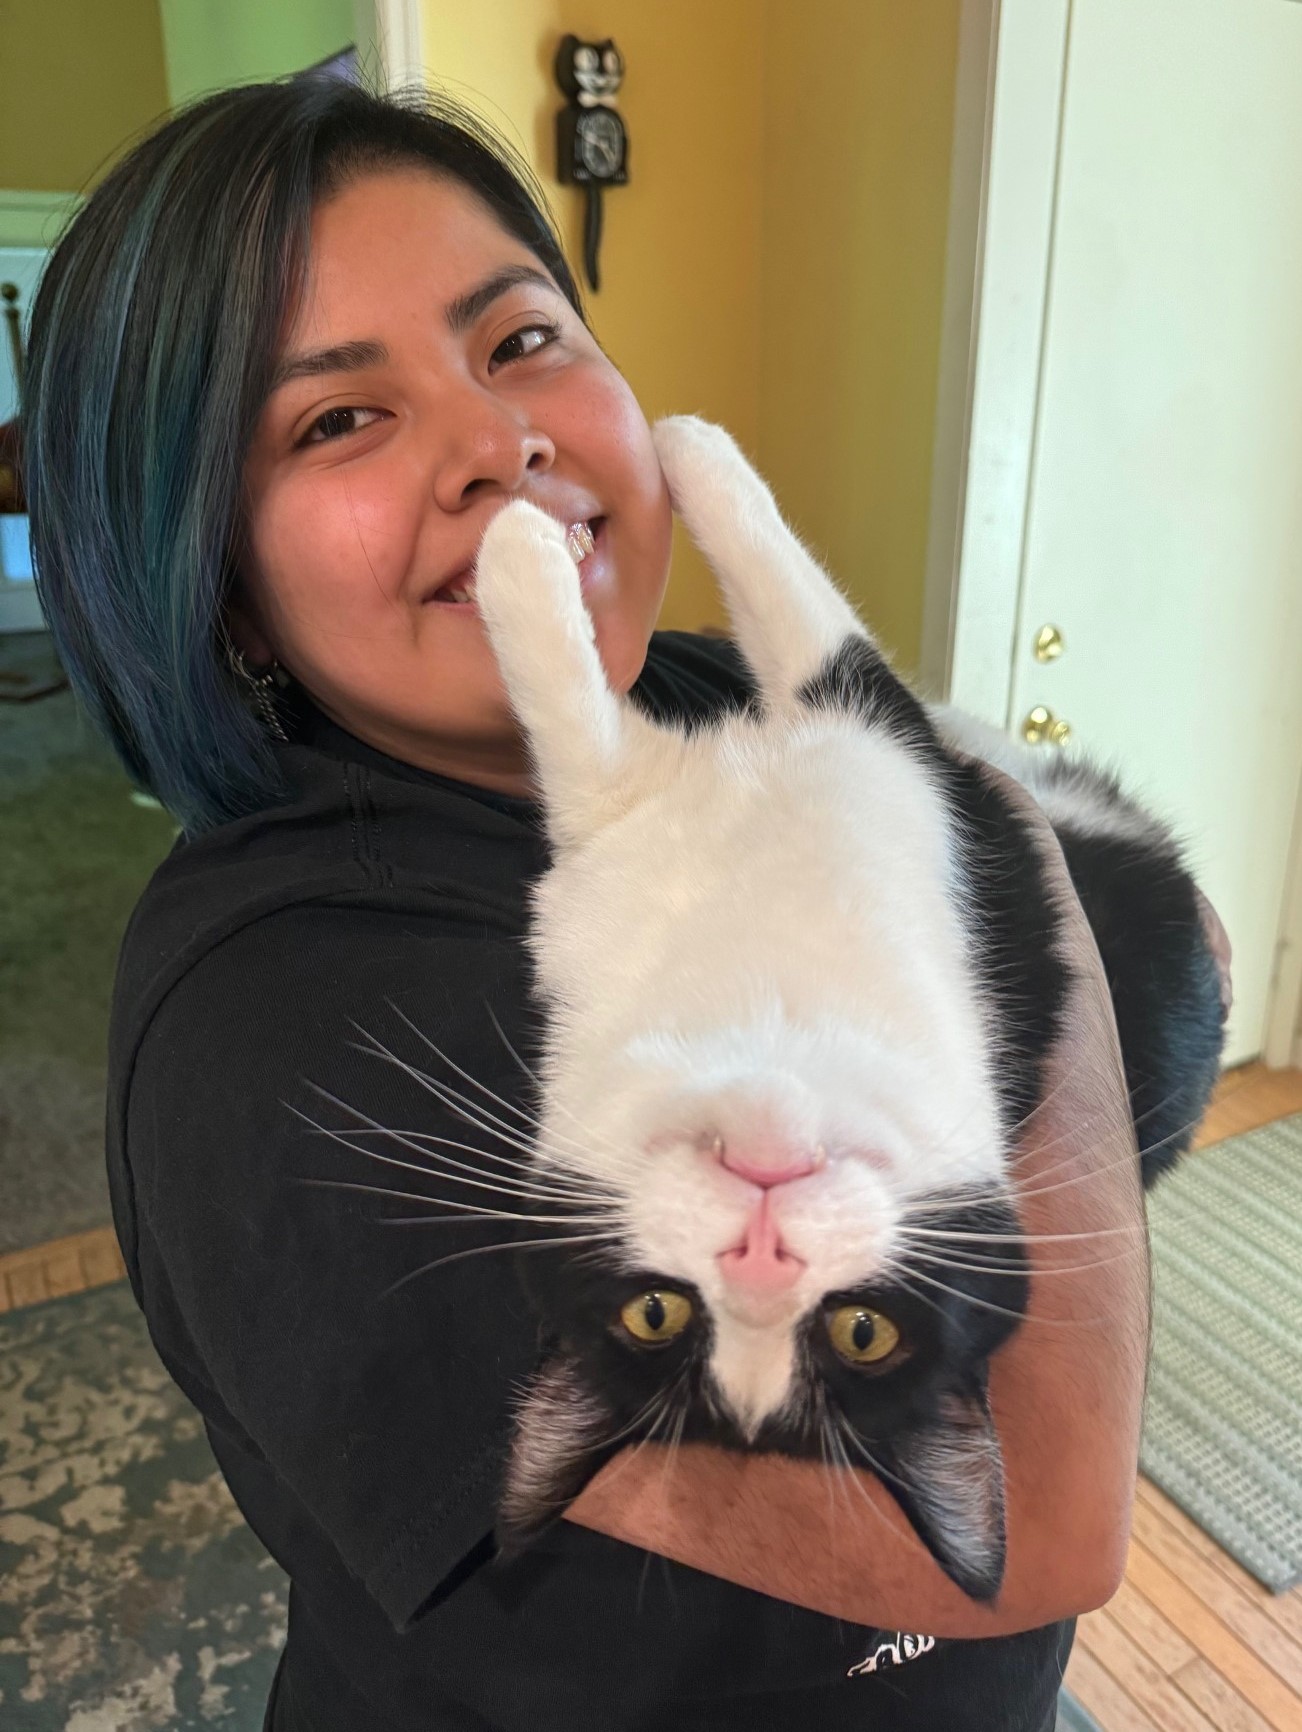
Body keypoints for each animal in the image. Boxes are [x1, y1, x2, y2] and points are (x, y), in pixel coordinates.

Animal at [464, 415, 1225, 1602]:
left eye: (864, 1334)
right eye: (657, 1313)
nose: (763, 1252)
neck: (771, 1009)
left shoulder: (813, 773)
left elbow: (723, 638)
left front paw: (615, 487)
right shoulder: (673, 825)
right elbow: (633, 700)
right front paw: (537, 531)